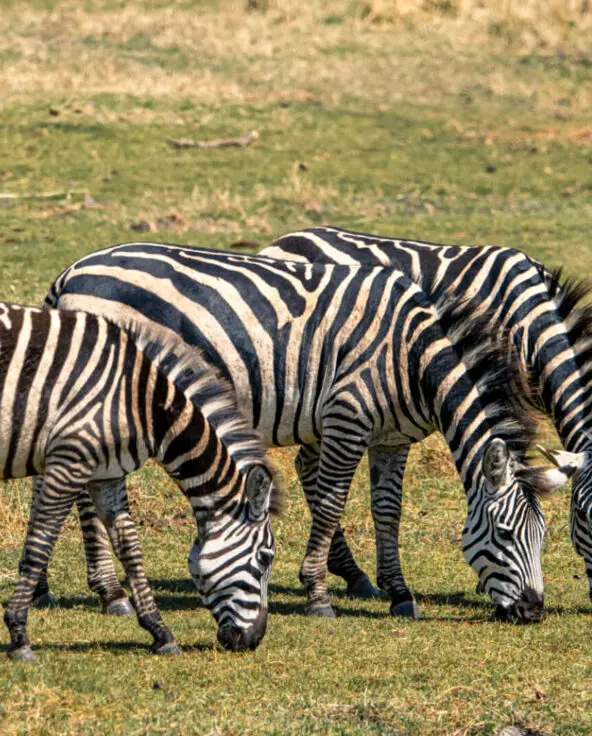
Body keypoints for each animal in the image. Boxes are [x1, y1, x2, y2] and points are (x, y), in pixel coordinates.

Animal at [0, 301, 279, 662]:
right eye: (265, 558)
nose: (254, 640)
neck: (143, 402)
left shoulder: (106, 473)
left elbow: (129, 547)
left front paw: (160, 632)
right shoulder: (69, 460)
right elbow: (40, 545)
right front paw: (19, 635)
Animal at [41, 243, 572, 621]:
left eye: (544, 535)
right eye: (505, 533)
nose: (533, 611)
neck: (412, 357)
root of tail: (72, 272)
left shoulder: (391, 438)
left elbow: (388, 510)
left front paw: (399, 592)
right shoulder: (347, 417)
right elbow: (333, 502)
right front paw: (318, 593)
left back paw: (57, 589)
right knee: (83, 493)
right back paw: (110, 592)